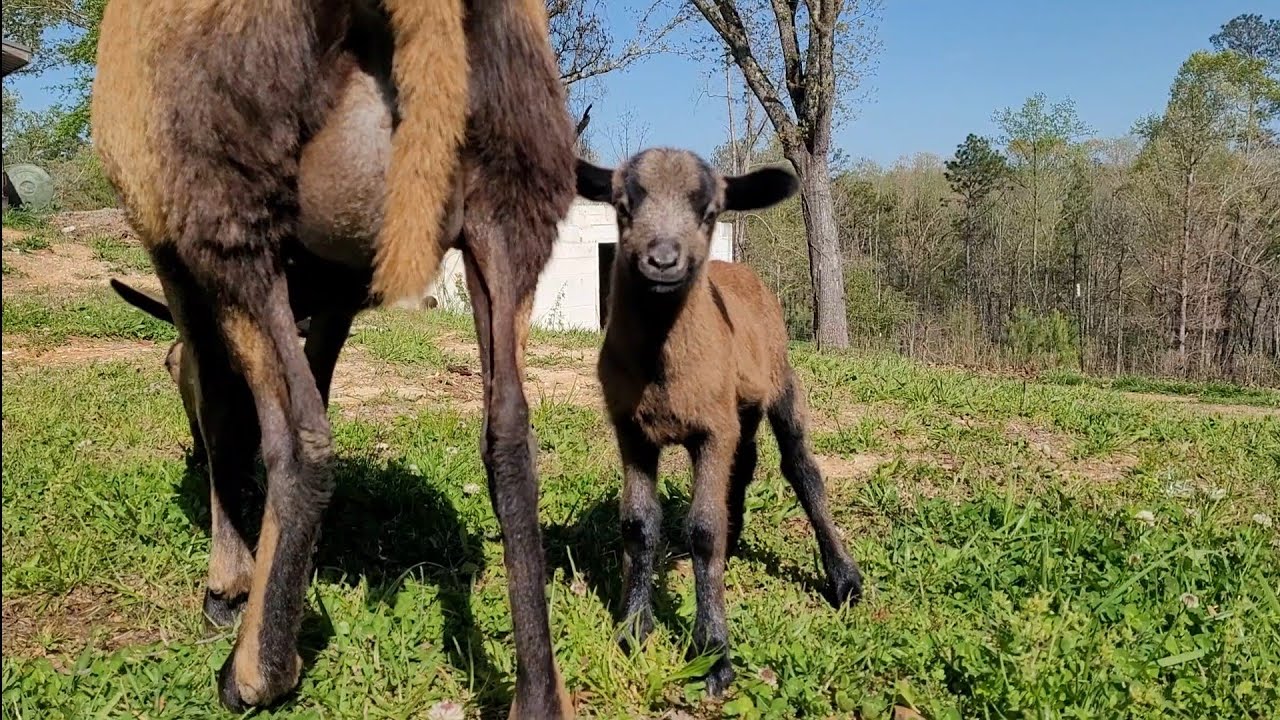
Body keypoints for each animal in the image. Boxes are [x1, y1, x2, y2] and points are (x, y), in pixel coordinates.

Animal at [91, 1, 576, 715]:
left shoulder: (170, 243)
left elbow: (221, 399)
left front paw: (230, 584)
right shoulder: (343, 287)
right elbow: (313, 377)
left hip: (229, 196)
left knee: (302, 438)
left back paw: (255, 671)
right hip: (516, 195)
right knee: (511, 437)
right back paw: (539, 697)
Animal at [576, 148, 863, 696]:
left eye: (709, 214)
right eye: (622, 207)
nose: (663, 259)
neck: (663, 370)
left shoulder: (711, 430)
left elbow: (703, 529)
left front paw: (713, 652)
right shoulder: (631, 429)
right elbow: (638, 523)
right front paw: (633, 629)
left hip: (780, 377)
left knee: (802, 469)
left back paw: (844, 578)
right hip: (739, 405)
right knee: (745, 464)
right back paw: (738, 539)